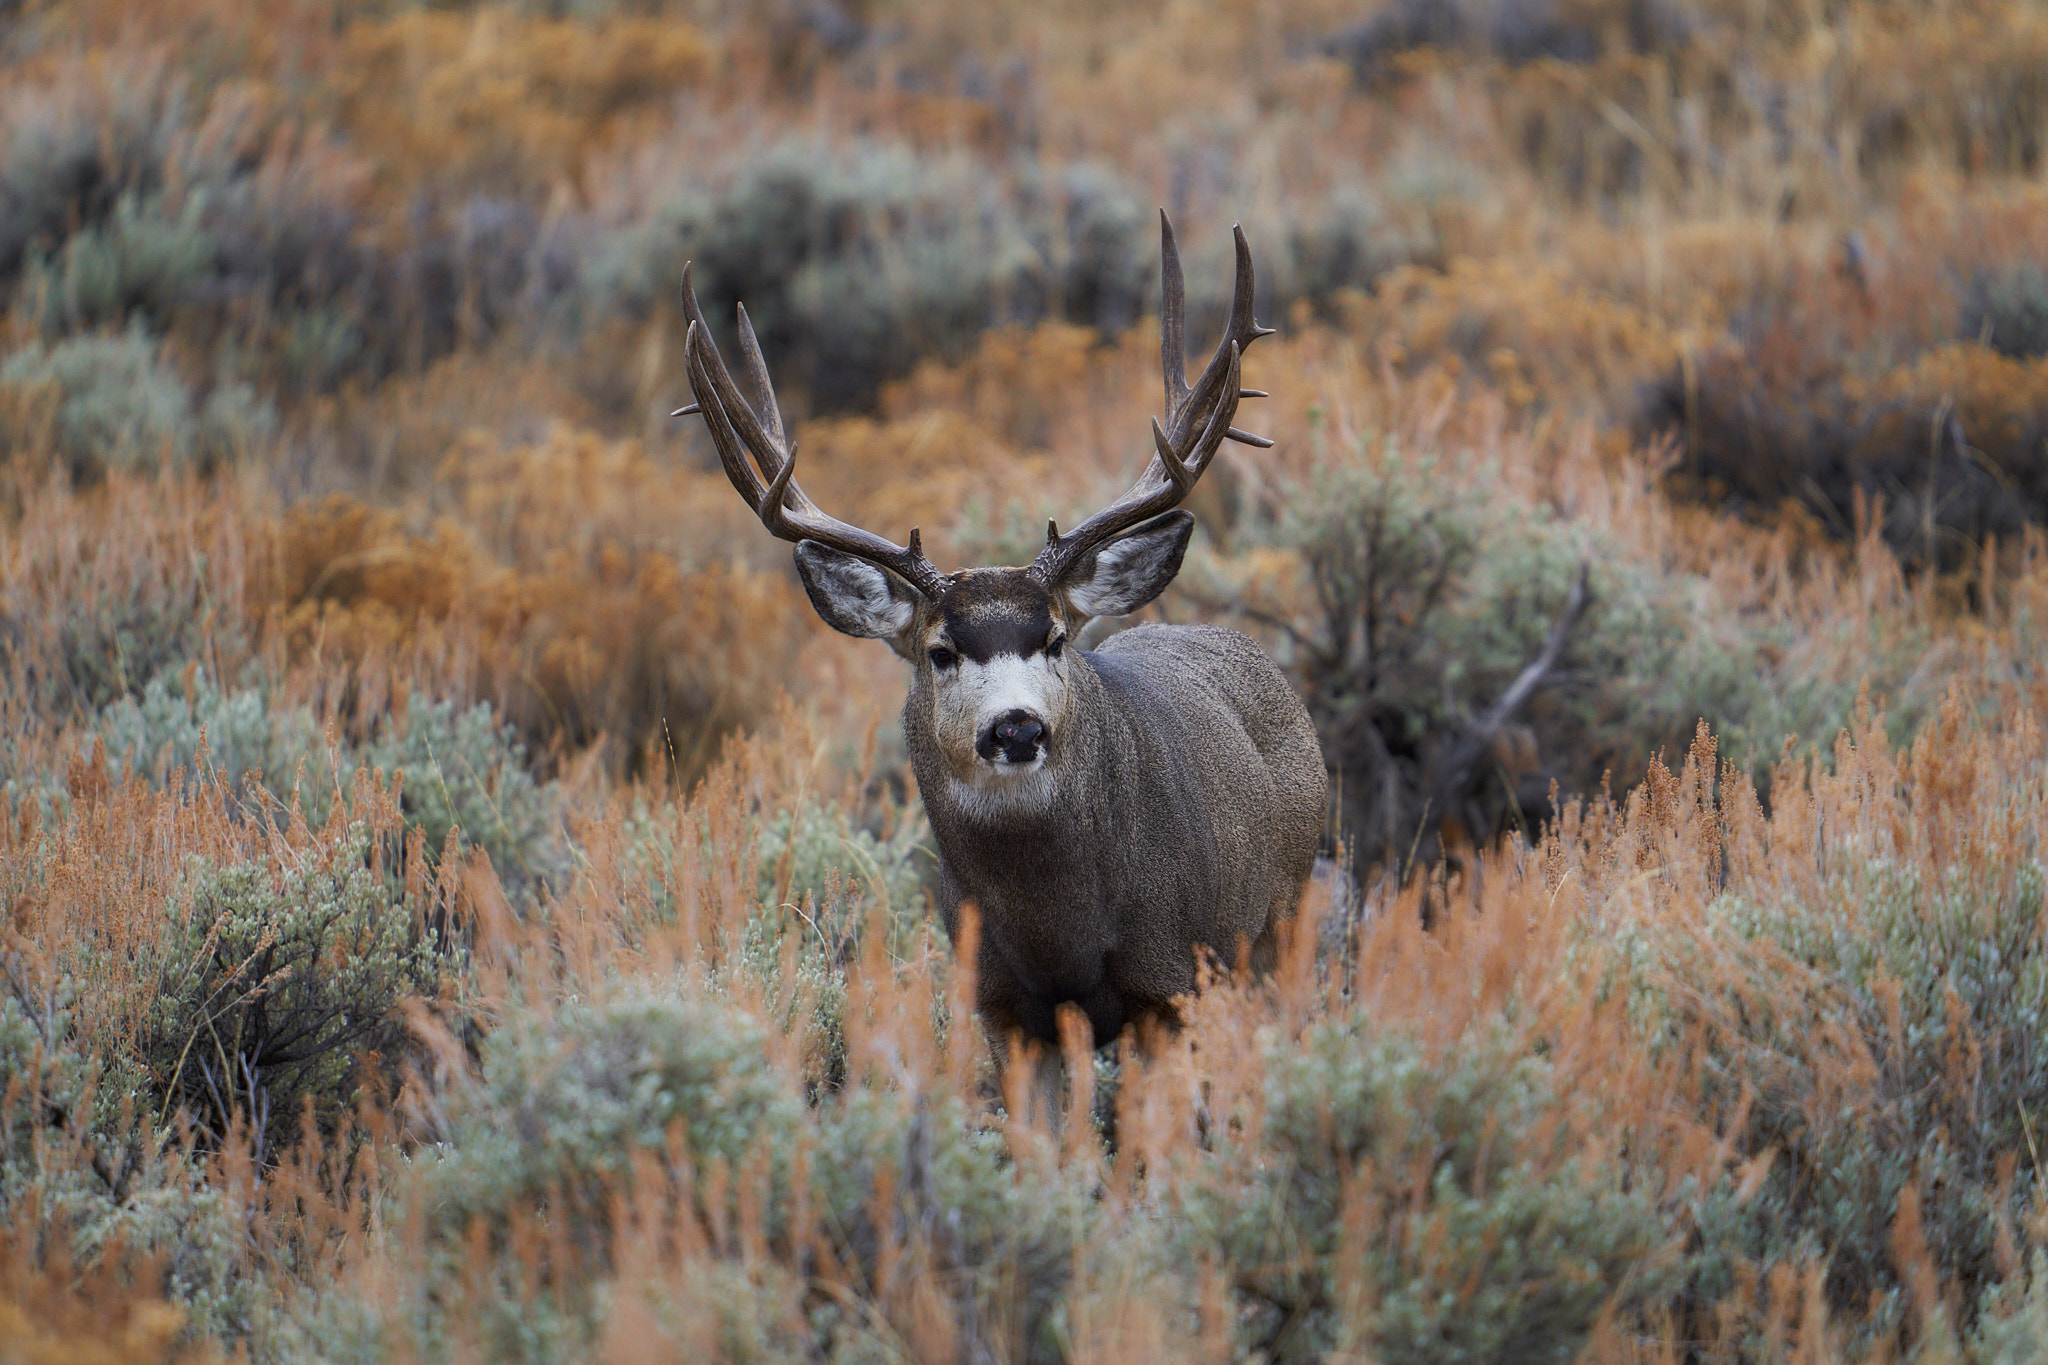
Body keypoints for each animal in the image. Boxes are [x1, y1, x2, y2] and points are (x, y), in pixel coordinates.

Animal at [674, 213, 1327, 1055]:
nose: (1017, 727)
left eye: (1055, 638)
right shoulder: (1001, 1002)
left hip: (1279, 928)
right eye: (940, 651)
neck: (1056, 931)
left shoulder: (1168, 980)